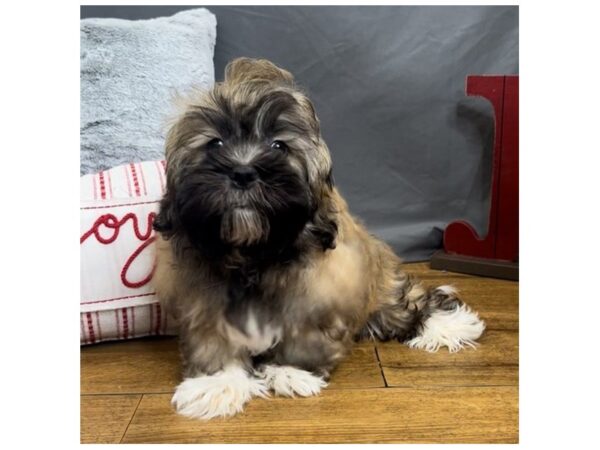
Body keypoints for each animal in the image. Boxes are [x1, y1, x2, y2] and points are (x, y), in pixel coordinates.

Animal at [152, 58, 486, 420]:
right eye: (215, 144)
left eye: (279, 146)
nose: (242, 172)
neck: (255, 255)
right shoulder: (204, 296)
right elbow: (214, 338)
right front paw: (216, 382)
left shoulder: (320, 290)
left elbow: (304, 333)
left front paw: (291, 371)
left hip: (381, 287)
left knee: (405, 302)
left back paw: (447, 324)